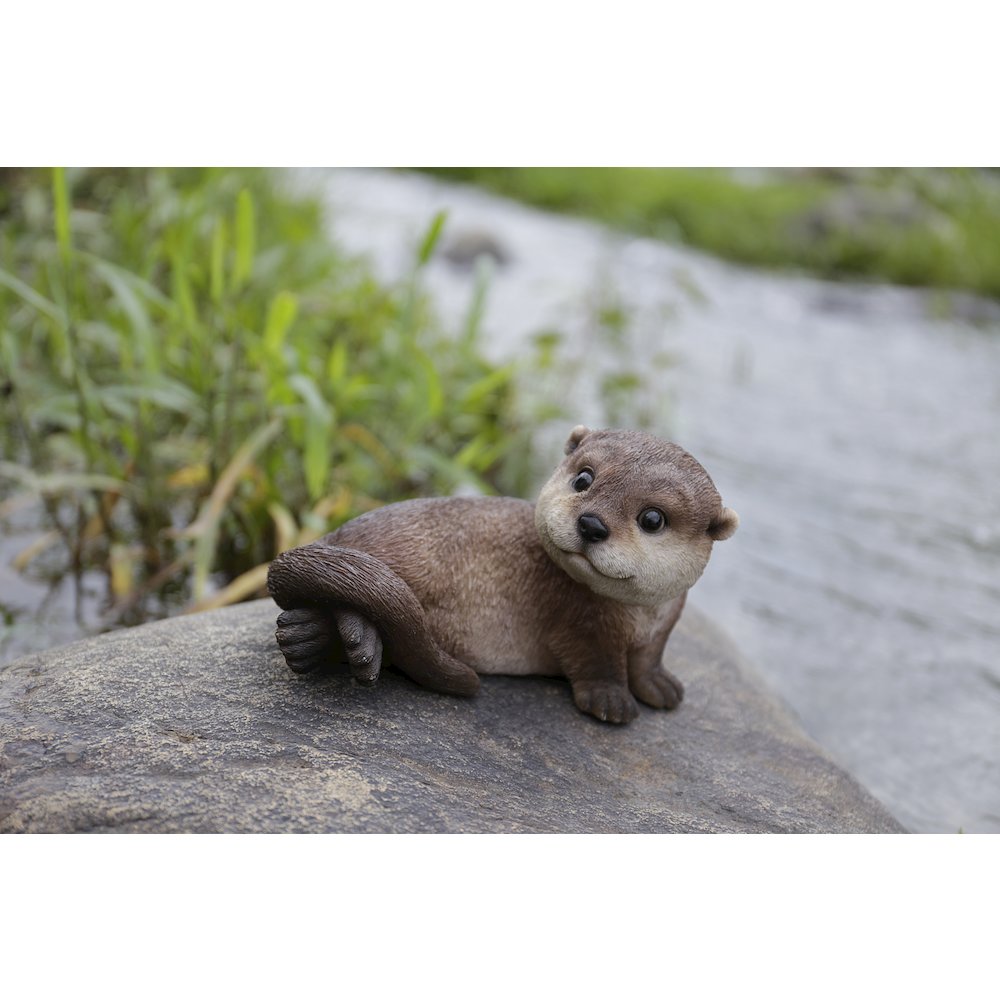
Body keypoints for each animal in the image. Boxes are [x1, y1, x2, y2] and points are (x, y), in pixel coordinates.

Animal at [266, 426, 738, 724]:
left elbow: (647, 660)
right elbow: (596, 662)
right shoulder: (581, 622)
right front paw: (611, 701)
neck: (640, 616)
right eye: (584, 479)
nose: (591, 524)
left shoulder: (664, 625)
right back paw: (343, 644)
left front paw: (661, 687)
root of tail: (335, 535)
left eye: (652, 519)